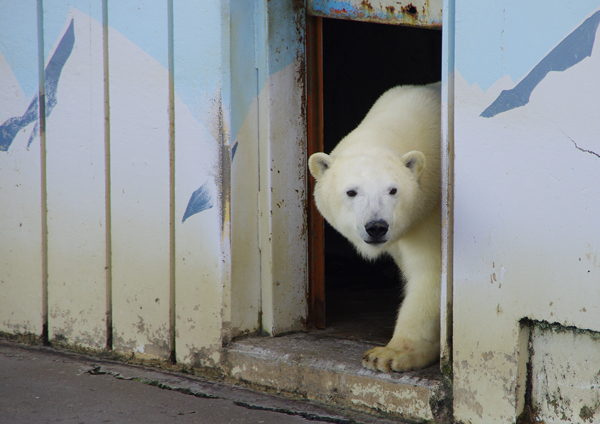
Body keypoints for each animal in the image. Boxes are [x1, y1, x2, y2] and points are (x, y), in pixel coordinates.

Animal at [310, 82, 440, 372]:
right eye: (351, 191)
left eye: (393, 190)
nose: (376, 227)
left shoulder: (432, 209)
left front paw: (389, 355)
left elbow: (428, 271)